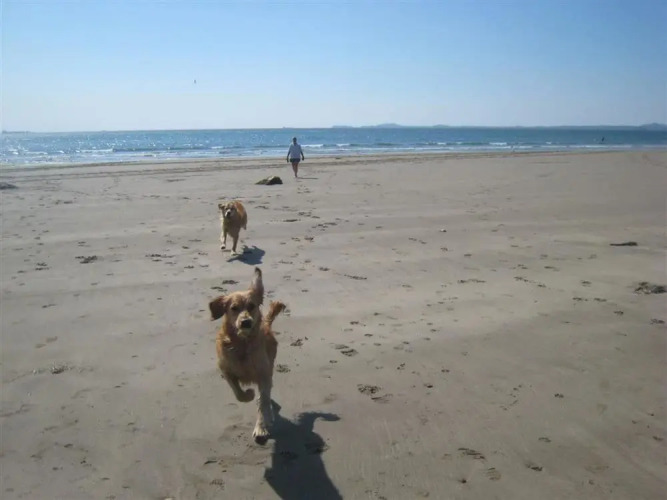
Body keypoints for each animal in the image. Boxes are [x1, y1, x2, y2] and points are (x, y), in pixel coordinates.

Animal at [209, 267, 286, 443]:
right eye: (234, 308)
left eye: (251, 306)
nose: (246, 322)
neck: (242, 344)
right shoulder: (225, 370)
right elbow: (238, 393)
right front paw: (248, 394)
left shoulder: (263, 374)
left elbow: (263, 401)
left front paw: (261, 427)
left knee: (266, 398)